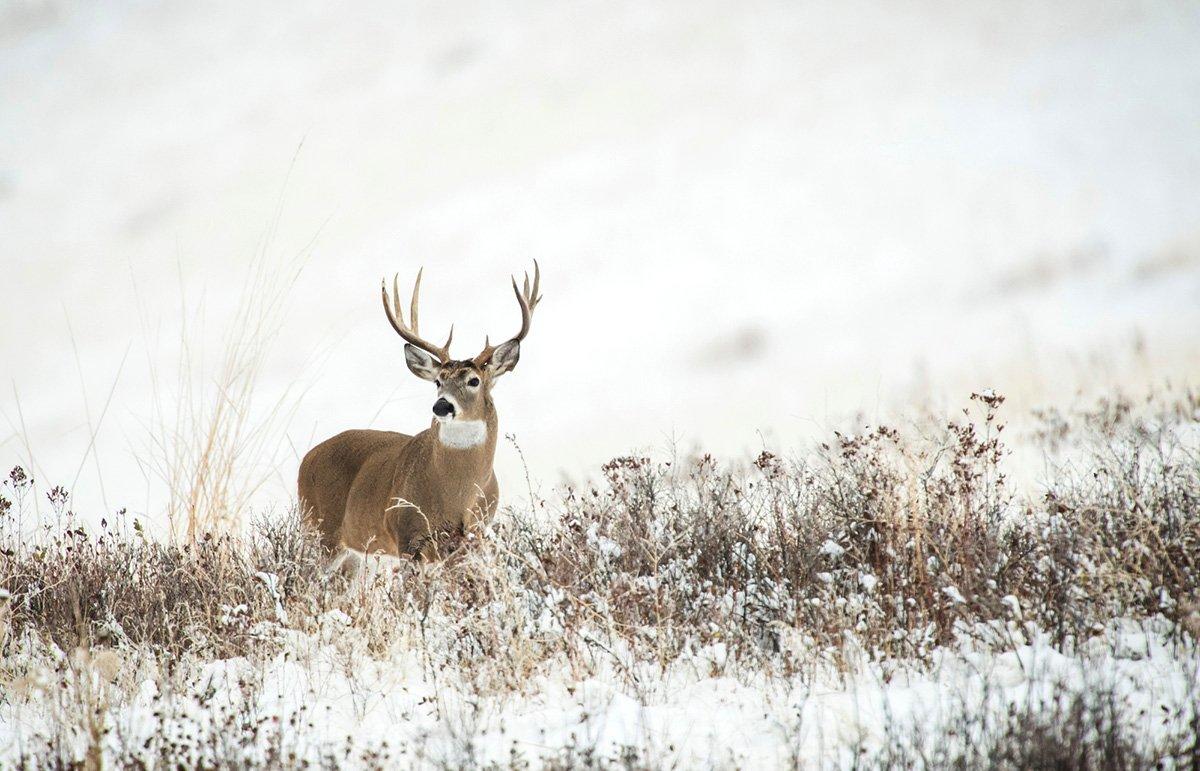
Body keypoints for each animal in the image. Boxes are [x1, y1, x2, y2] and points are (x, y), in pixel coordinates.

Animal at [297, 261, 542, 566]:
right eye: (438, 381)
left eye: (473, 381)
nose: (442, 406)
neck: (456, 495)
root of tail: (305, 460)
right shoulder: (407, 536)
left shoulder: (473, 536)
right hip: (320, 531)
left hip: (355, 551)